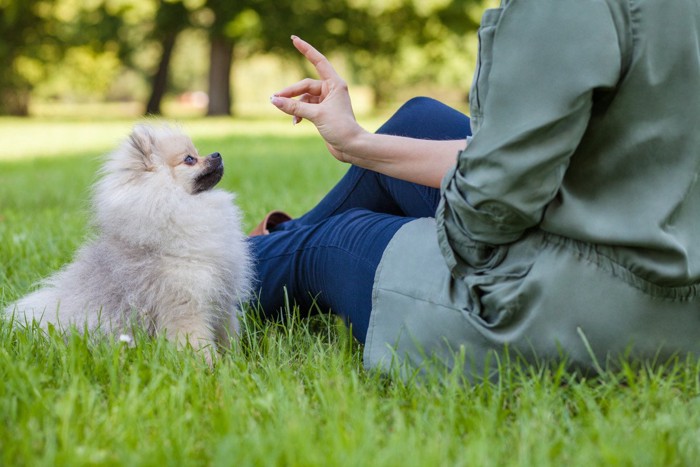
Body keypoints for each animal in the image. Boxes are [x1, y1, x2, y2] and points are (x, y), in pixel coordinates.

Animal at [5, 124, 253, 354]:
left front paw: (234, 359)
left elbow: (227, 333)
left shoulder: (223, 299)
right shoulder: (185, 305)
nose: (217, 154)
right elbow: (196, 342)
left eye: (197, 153)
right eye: (190, 159)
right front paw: (208, 367)